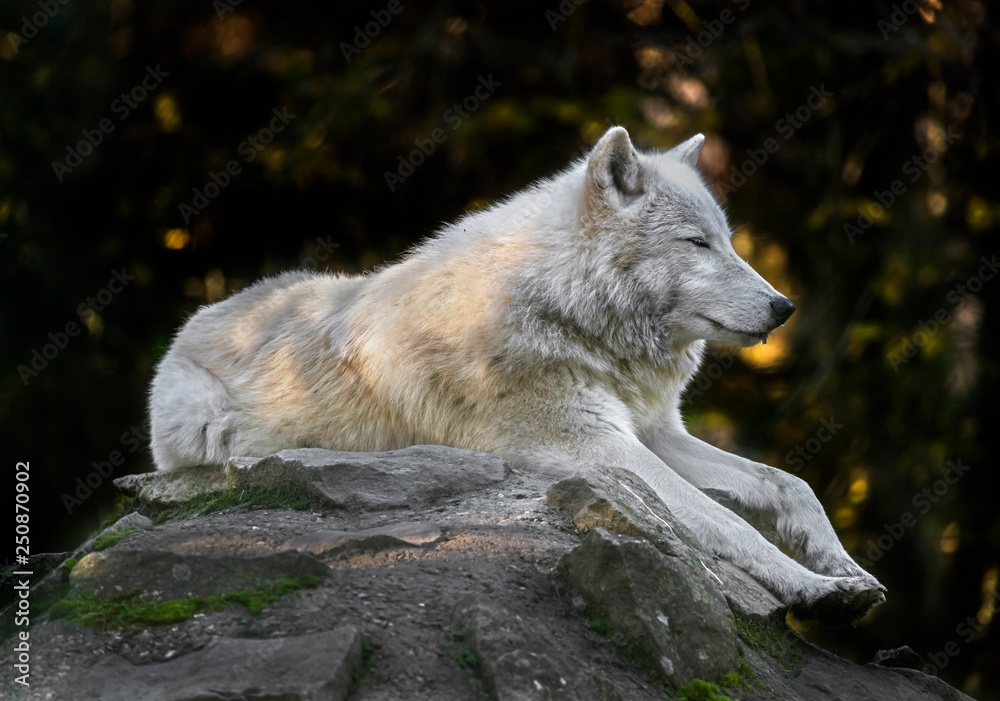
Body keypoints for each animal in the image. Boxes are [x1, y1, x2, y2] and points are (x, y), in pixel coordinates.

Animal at [150, 126, 885, 622]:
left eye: (729, 241)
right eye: (696, 243)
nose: (784, 306)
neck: (565, 306)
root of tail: (193, 322)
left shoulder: (653, 432)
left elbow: (789, 484)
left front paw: (844, 567)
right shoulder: (599, 448)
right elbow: (726, 522)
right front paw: (816, 589)